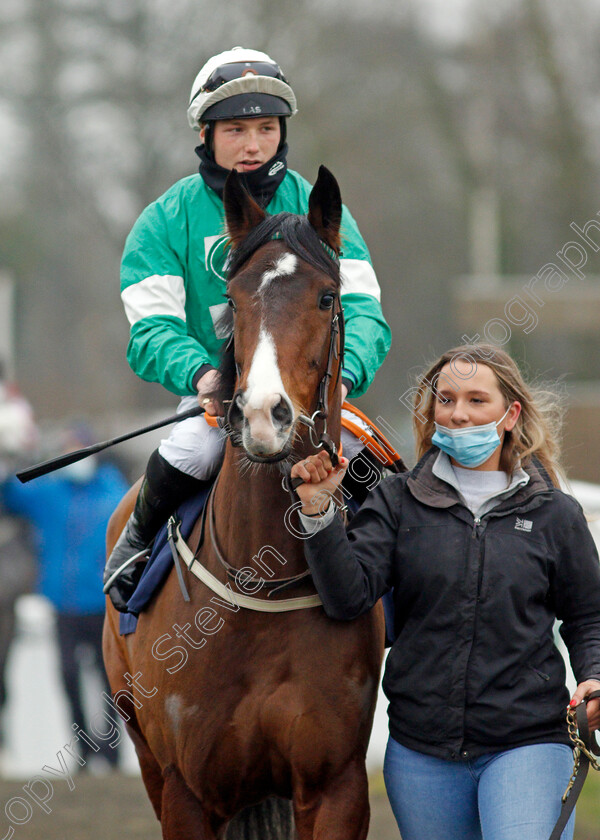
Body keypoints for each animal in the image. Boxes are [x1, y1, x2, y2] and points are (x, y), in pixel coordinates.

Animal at [102, 167, 384, 836]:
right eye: (232, 299)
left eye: (327, 297)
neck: (261, 585)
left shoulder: (337, 785)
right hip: (145, 751)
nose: (260, 414)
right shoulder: (187, 791)